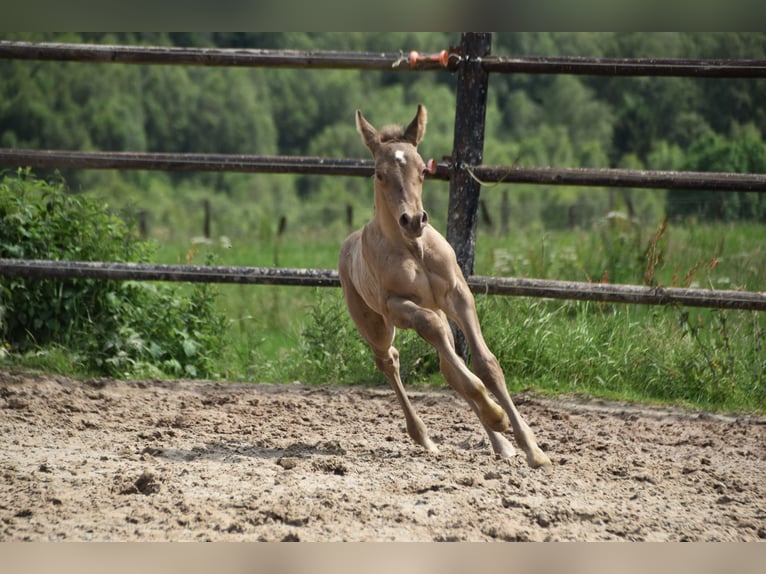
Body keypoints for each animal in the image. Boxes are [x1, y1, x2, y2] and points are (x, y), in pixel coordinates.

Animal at [340, 106, 552, 470]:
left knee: (448, 367)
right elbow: (434, 332)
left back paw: (500, 443)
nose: (413, 220)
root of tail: (348, 244)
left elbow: (486, 364)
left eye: (422, 170)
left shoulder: (458, 295)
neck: (414, 249)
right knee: (390, 360)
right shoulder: (395, 306)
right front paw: (498, 416)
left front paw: (531, 447)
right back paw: (424, 436)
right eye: (379, 174)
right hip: (375, 326)